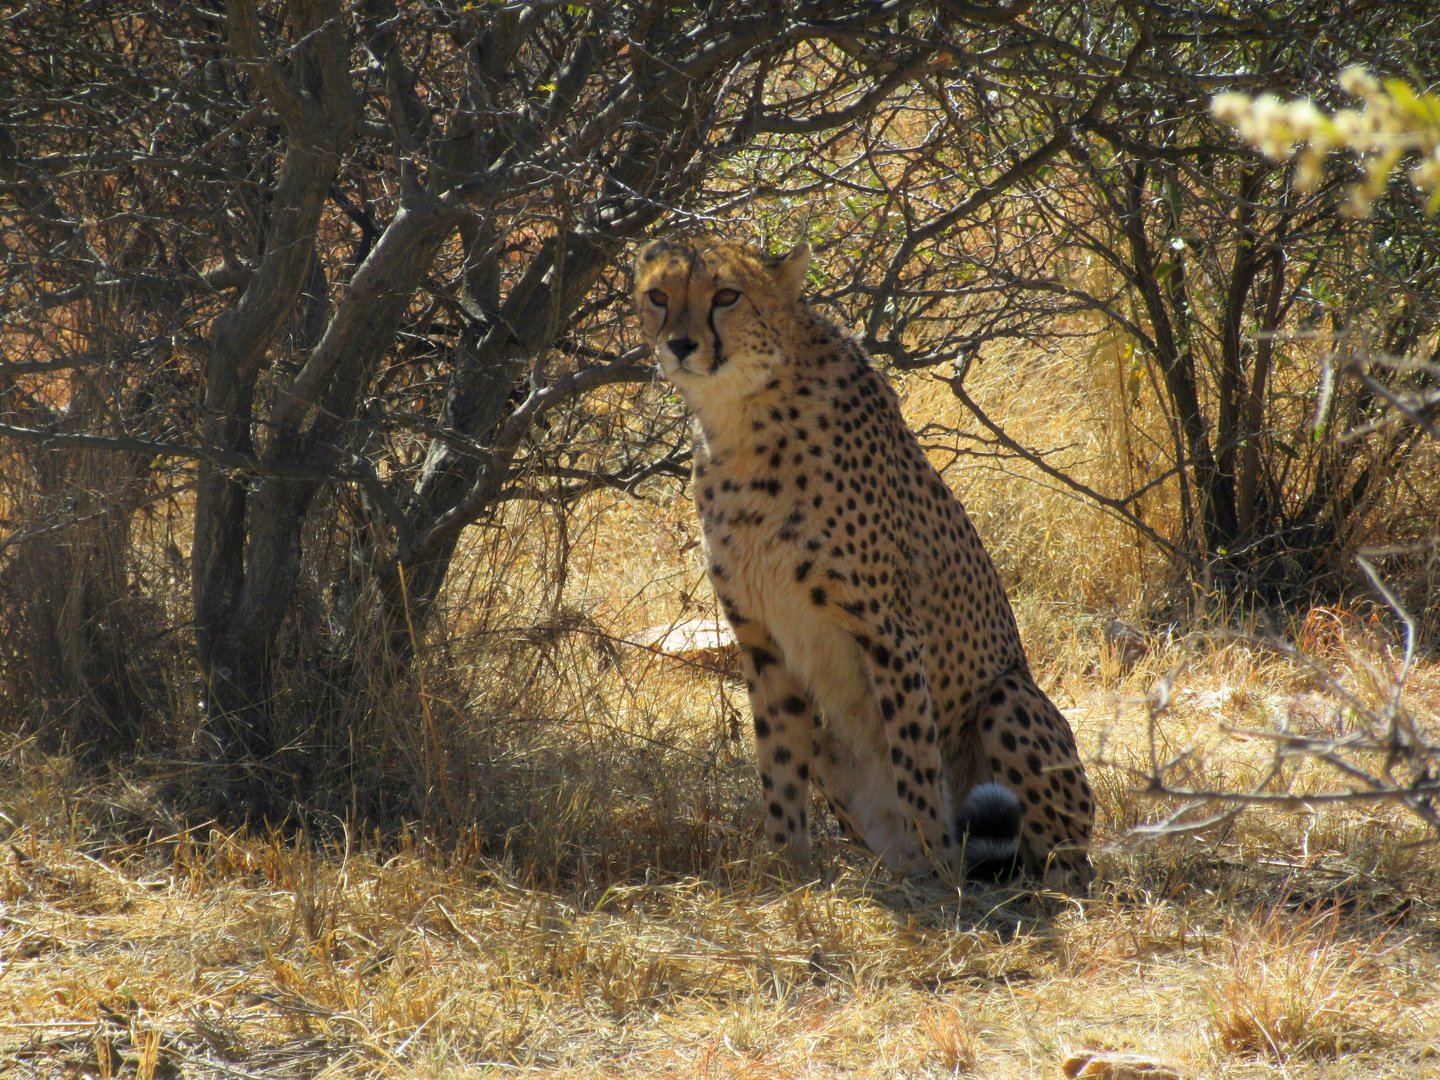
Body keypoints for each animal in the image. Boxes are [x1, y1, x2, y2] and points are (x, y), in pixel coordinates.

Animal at [636, 236, 1094, 887]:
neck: (740, 415)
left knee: (1061, 862)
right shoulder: (760, 634)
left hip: (1009, 699)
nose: (678, 343)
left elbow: (915, 759)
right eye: (658, 295)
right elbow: (778, 763)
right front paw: (784, 870)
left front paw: (938, 872)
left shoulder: (889, 631)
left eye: (726, 295)